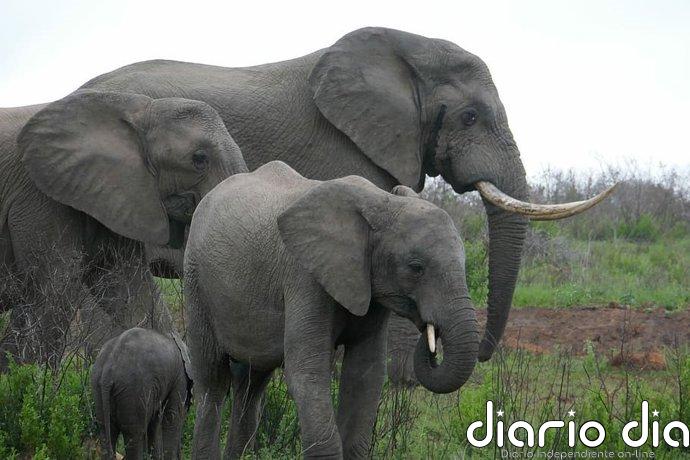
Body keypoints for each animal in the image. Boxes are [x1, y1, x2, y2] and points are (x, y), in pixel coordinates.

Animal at [91, 327, 193, 460]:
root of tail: (108, 370)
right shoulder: (180, 377)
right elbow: (171, 416)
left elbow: (155, 420)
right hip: (132, 390)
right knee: (134, 434)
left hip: (98, 385)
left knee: (106, 430)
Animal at [184, 161, 479, 459]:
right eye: (416, 267)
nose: (431, 334)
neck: (381, 201)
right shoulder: (304, 276)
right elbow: (307, 372)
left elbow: (365, 375)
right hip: (196, 282)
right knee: (213, 381)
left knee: (251, 382)